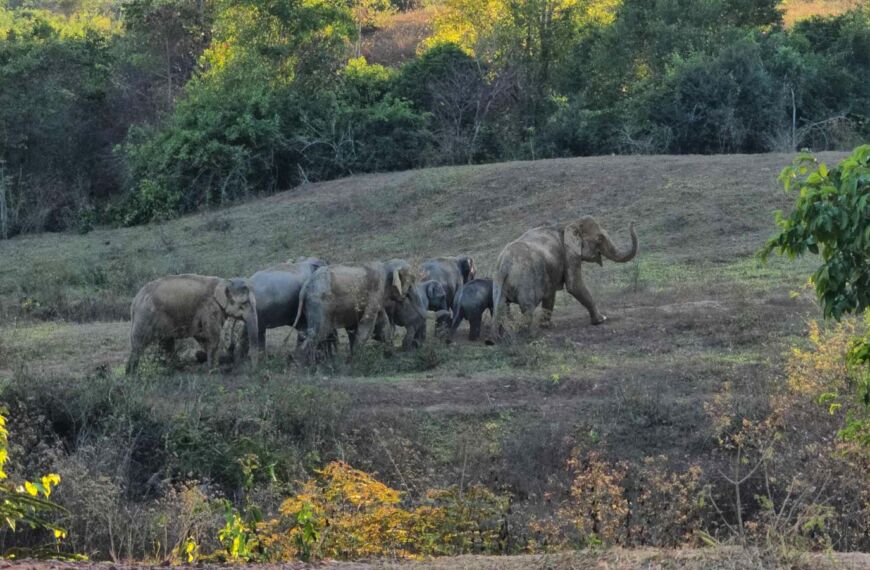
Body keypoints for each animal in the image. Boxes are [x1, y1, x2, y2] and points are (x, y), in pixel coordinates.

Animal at [125, 274, 258, 374]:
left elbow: (201, 336)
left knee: (166, 342)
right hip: (146, 316)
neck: (225, 281)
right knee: (139, 344)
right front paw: (213, 370)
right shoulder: (210, 308)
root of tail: (134, 302)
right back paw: (131, 375)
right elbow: (213, 336)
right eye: (244, 304)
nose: (252, 369)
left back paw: (174, 370)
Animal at [490, 216, 640, 332]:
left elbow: (550, 295)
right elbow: (574, 286)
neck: (568, 224)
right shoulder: (570, 254)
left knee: (502, 309)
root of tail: (505, 264)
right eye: (599, 239)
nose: (632, 222)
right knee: (527, 309)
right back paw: (526, 332)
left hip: (498, 284)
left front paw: (547, 326)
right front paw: (601, 320)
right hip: (526, 281)